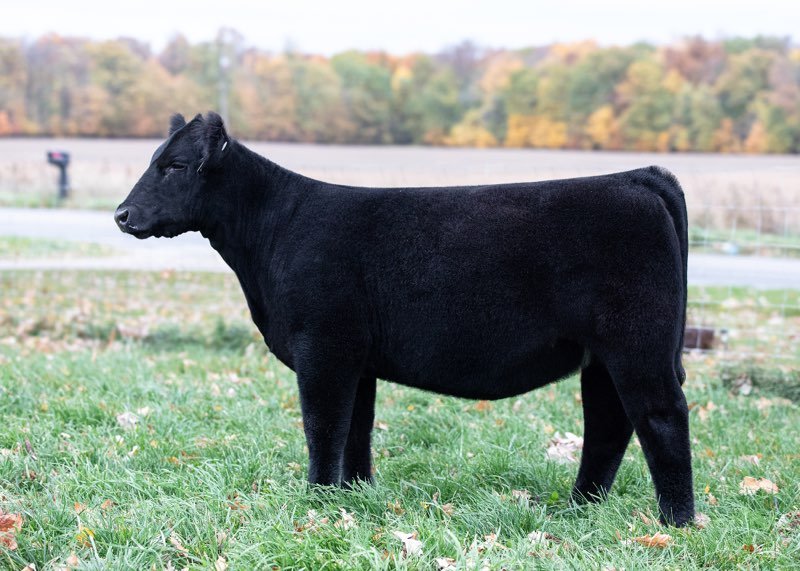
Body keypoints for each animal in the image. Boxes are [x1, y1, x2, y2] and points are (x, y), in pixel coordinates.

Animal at [115, 112, 695, 526]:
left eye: (175, 166)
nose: (121, 214)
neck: (272, 234)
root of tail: (638, 177)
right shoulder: (357, 358)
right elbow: (356, 428)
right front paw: (354, 496)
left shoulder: (323, 346)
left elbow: (323, 425)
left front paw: (318, 500)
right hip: (604, 353)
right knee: (609, 421)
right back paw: (579, 508)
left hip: (638, 343)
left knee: (660, 415)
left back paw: (677, 523)